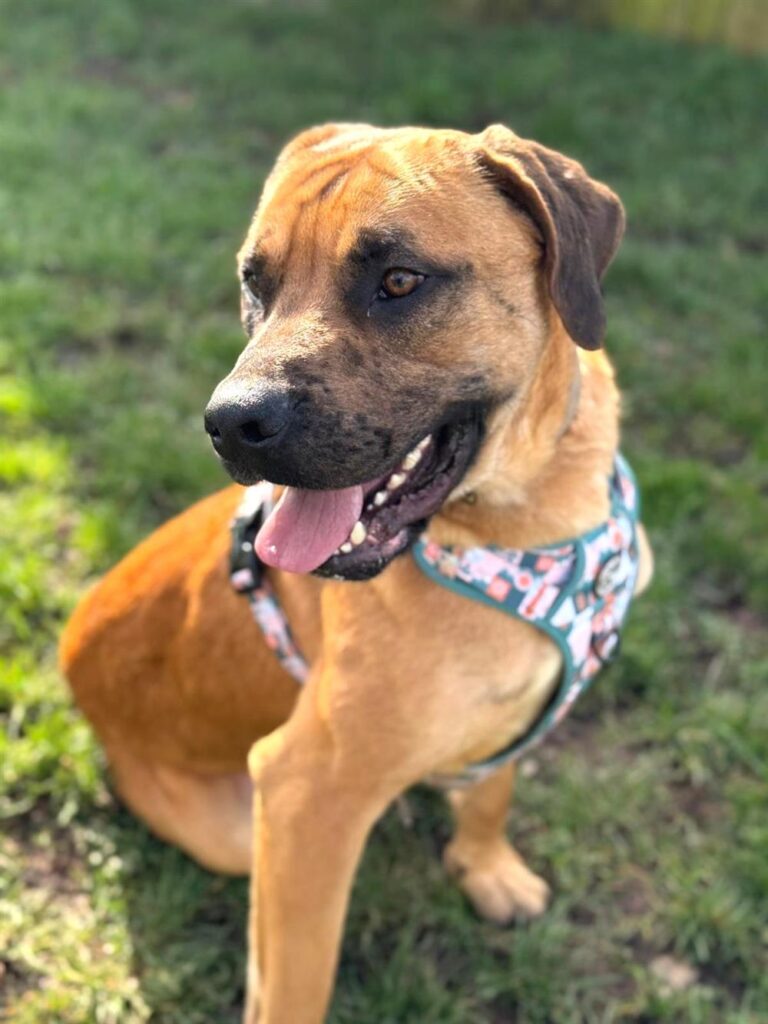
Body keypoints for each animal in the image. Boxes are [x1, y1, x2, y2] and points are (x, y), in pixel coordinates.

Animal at [61, 122, 653, 1024]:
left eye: (399, 280)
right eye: (255, 283)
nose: (229, 423)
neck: (524, 517)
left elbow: (494, 788)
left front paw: (485, 866)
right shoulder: (305, 794)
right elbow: (295, 981)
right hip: (238, 833)